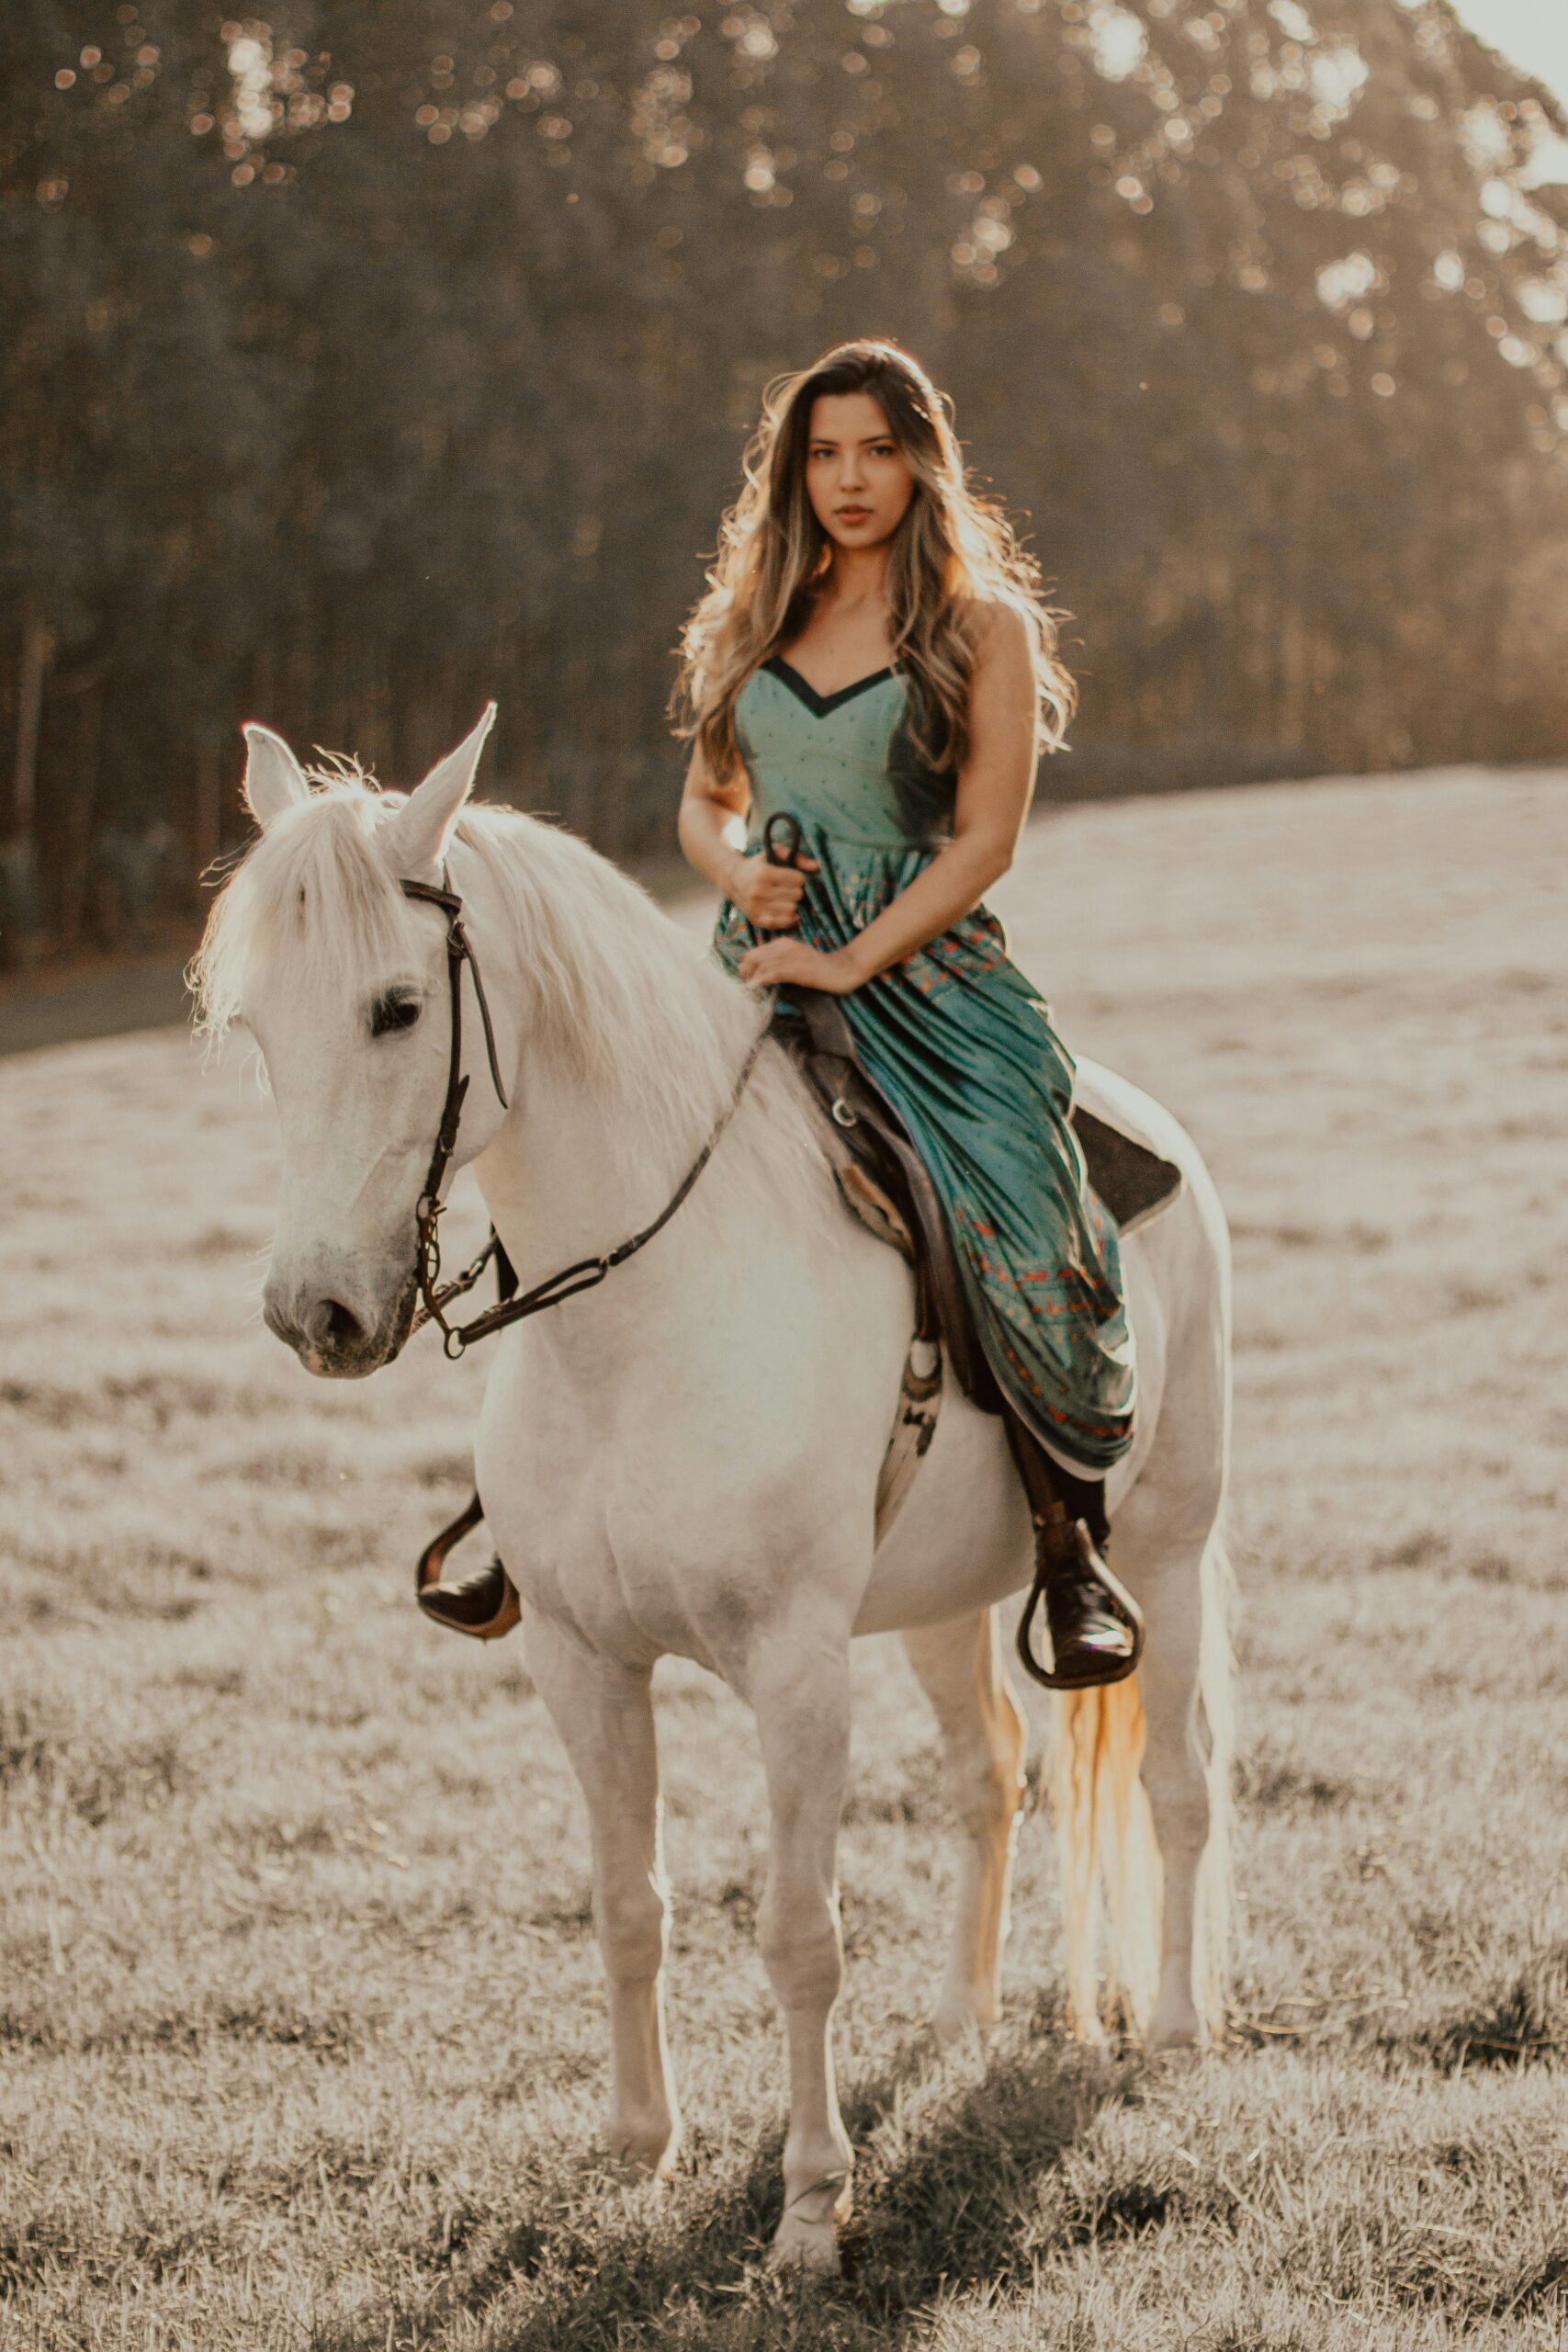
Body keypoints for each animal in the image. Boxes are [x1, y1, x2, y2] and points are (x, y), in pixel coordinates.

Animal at [190, 700, 1241, 2277]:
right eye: (253, 1027)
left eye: (395, 1009)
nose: (315, 1314)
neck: (637, 1318)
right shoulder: (581, 1662)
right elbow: (629, 1905)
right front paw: (638, 2149)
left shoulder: (794, 1669)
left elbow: (799, 1935)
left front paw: (809, 2206)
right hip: (934, 1601)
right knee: (984, 1777)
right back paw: (959, 2017)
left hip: (1166, 1554)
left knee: (1174, 1785)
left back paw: (1169, 2031)